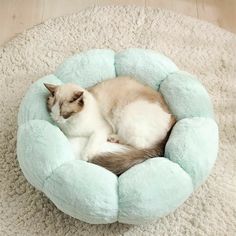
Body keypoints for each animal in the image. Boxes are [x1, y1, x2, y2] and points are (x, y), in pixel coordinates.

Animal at [44, 76, 175, 175]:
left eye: (64, 114)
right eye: (52, 110)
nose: (56, 120)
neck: (73, 123)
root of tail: (172, 119)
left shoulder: (102, 128)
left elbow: (91, 142)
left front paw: (86, 156)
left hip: (127, 117)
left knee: (139, 145)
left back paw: (113, 139)